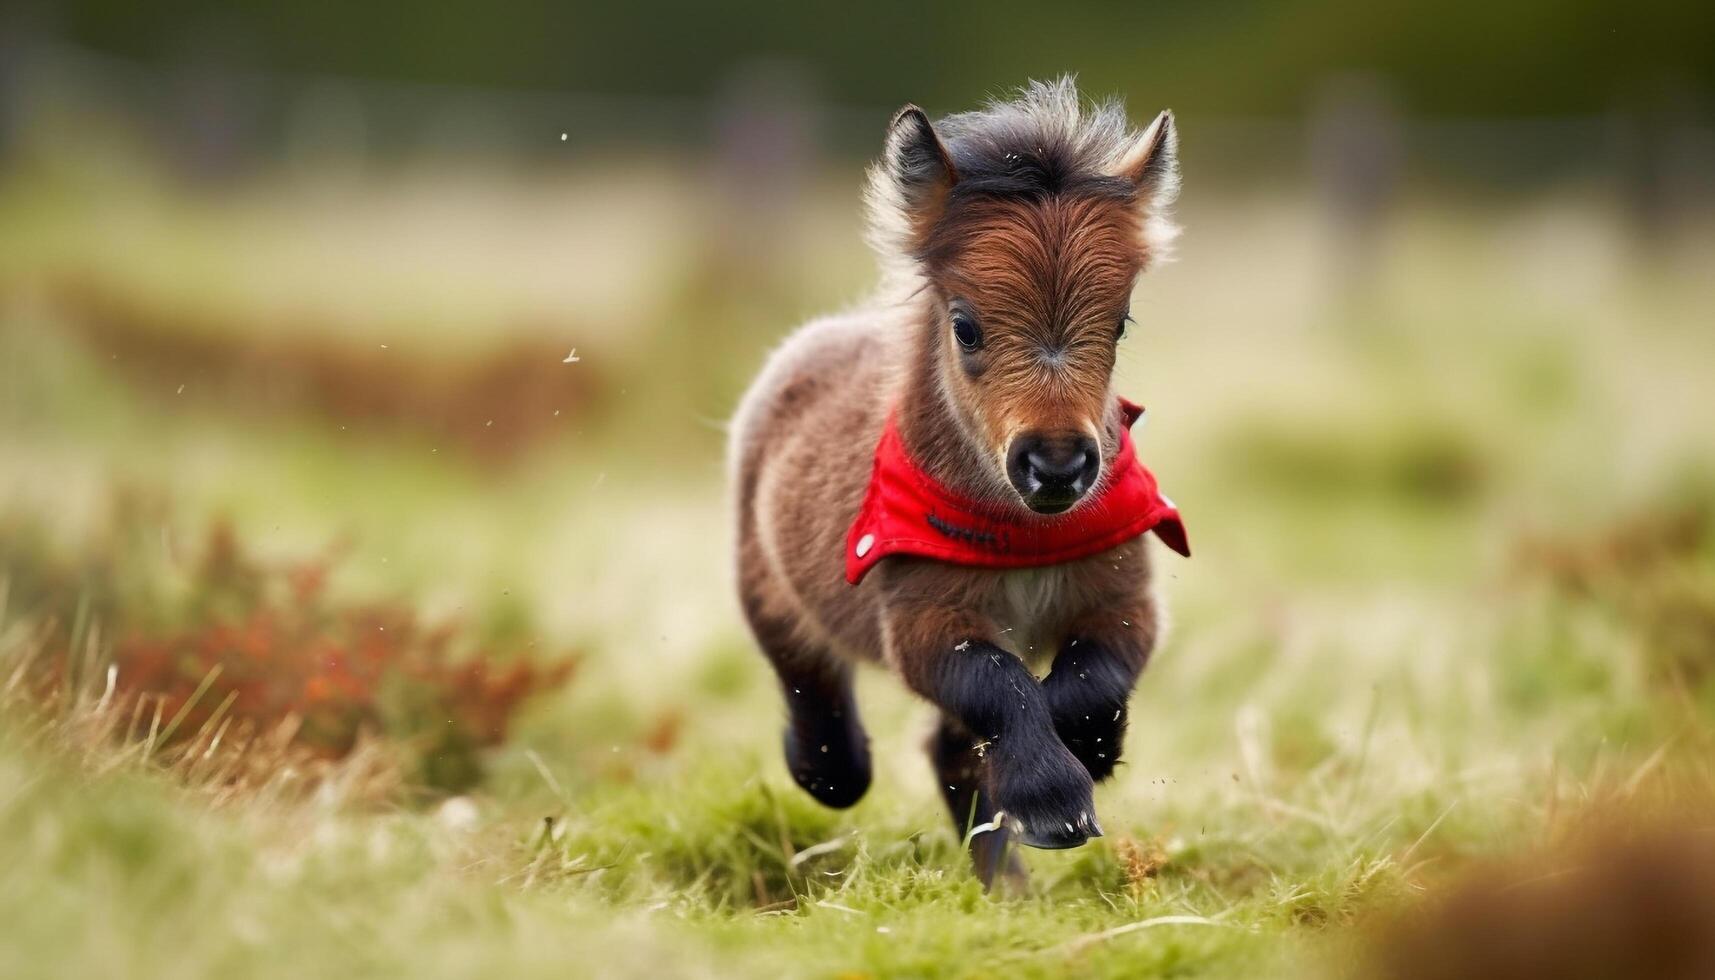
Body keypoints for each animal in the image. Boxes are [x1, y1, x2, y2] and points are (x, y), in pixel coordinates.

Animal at [730, 76, 1186, 892]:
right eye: (966, 326)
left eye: (1122, 324)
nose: (1057, 466)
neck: (1024, 538)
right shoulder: (923, 617)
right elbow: (999, 684)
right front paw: (1051, 800)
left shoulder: (1121, 599)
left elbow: (1088, 684)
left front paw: (1087, 755)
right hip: (767, 589)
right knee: (813, 696)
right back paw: (827, 767)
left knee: (950, 751)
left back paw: (1006, 888)